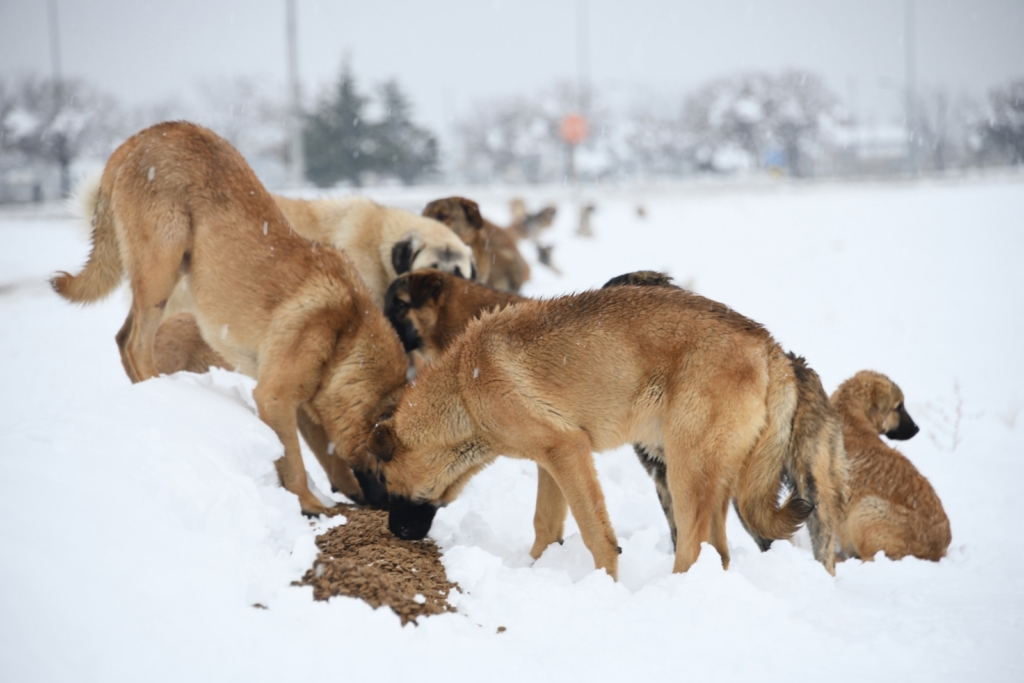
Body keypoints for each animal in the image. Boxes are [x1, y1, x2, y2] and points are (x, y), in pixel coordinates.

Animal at [52, 124, 407, 518]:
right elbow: (293, 462)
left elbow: (329, 457)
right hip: (163, 264)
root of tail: (138, 138)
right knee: (135, 344)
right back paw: (162, 390)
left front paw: (342, 493)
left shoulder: (304, 405)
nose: (393, 514)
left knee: (121, 337)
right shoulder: (274, 398)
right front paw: (310, 503)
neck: (346, 332)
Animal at [368, 286, 847, 581]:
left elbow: (598, 537)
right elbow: (545, 526)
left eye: (387, 483)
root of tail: (769, 345)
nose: (395, 533)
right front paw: (537, 572)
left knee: (692, 550)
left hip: (684, 473)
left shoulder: (569, 451)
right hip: (712, 481)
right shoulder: (552, 462)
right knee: (719, 553)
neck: (464, 390)